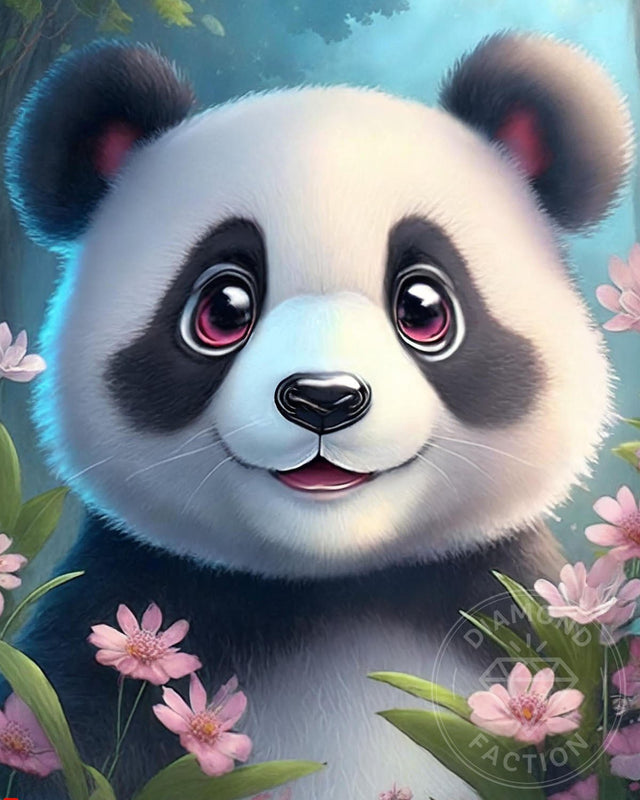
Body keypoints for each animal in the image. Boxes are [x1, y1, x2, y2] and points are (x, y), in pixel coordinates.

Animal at [2, 31, 632, 800]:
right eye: (222, 309)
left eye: (424, 307)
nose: (323, 397)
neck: (334, 584)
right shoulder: (105, 627)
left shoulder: (534, 624)